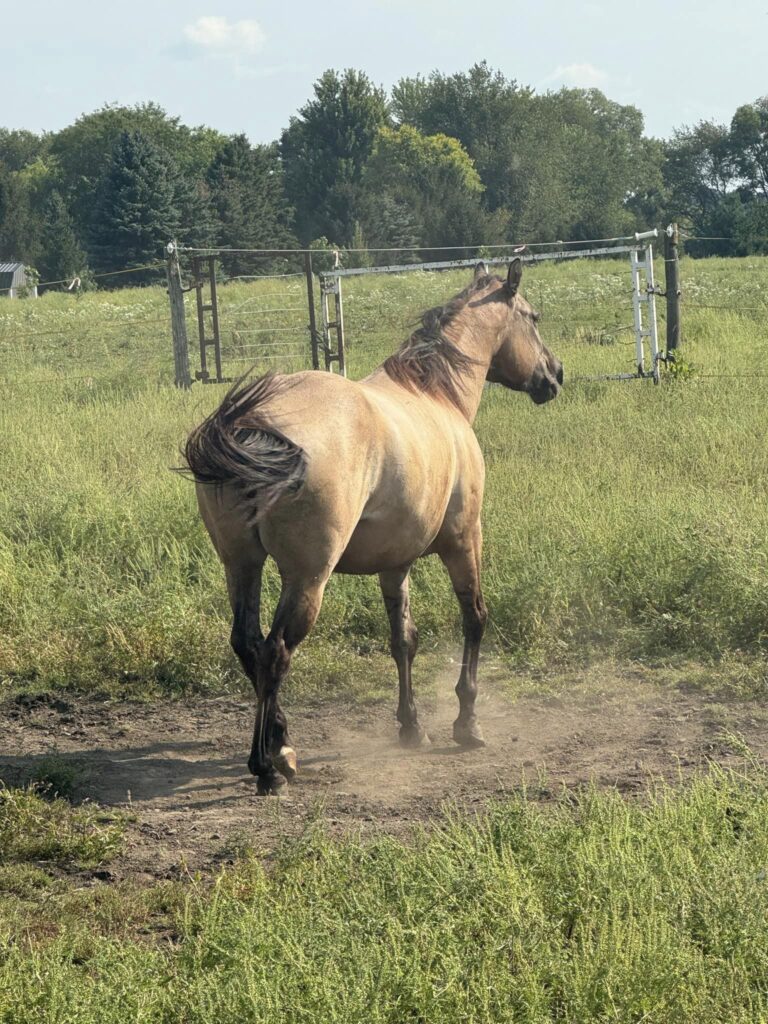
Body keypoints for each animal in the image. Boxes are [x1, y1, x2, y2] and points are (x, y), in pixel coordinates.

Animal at [183, 259, 563, 794]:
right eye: (533, 317)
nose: (554, 375)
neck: (435, 395)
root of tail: (252, 425)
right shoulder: (464, 540)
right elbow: (475, 618)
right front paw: (467, 721)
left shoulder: (395, 562)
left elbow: (403, 639)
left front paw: (411, 726)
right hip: (308, 577)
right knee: (275, 652)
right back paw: (270, 765)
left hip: (241, 565)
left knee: (248, 645)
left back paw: (279, 746)